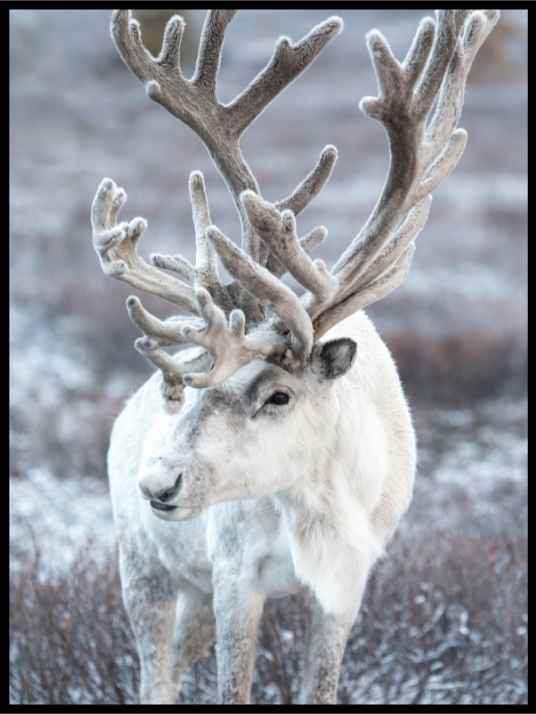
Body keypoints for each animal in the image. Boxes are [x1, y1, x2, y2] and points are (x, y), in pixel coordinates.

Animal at [90, 9, 500, 705]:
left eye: (279, 394)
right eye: (197, 389)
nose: (159, 482)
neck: (316, 505)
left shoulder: (347, 585)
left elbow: (322, 687)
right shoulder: (234, 577)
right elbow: (233, 688)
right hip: (144, 567)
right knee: (156, 675)